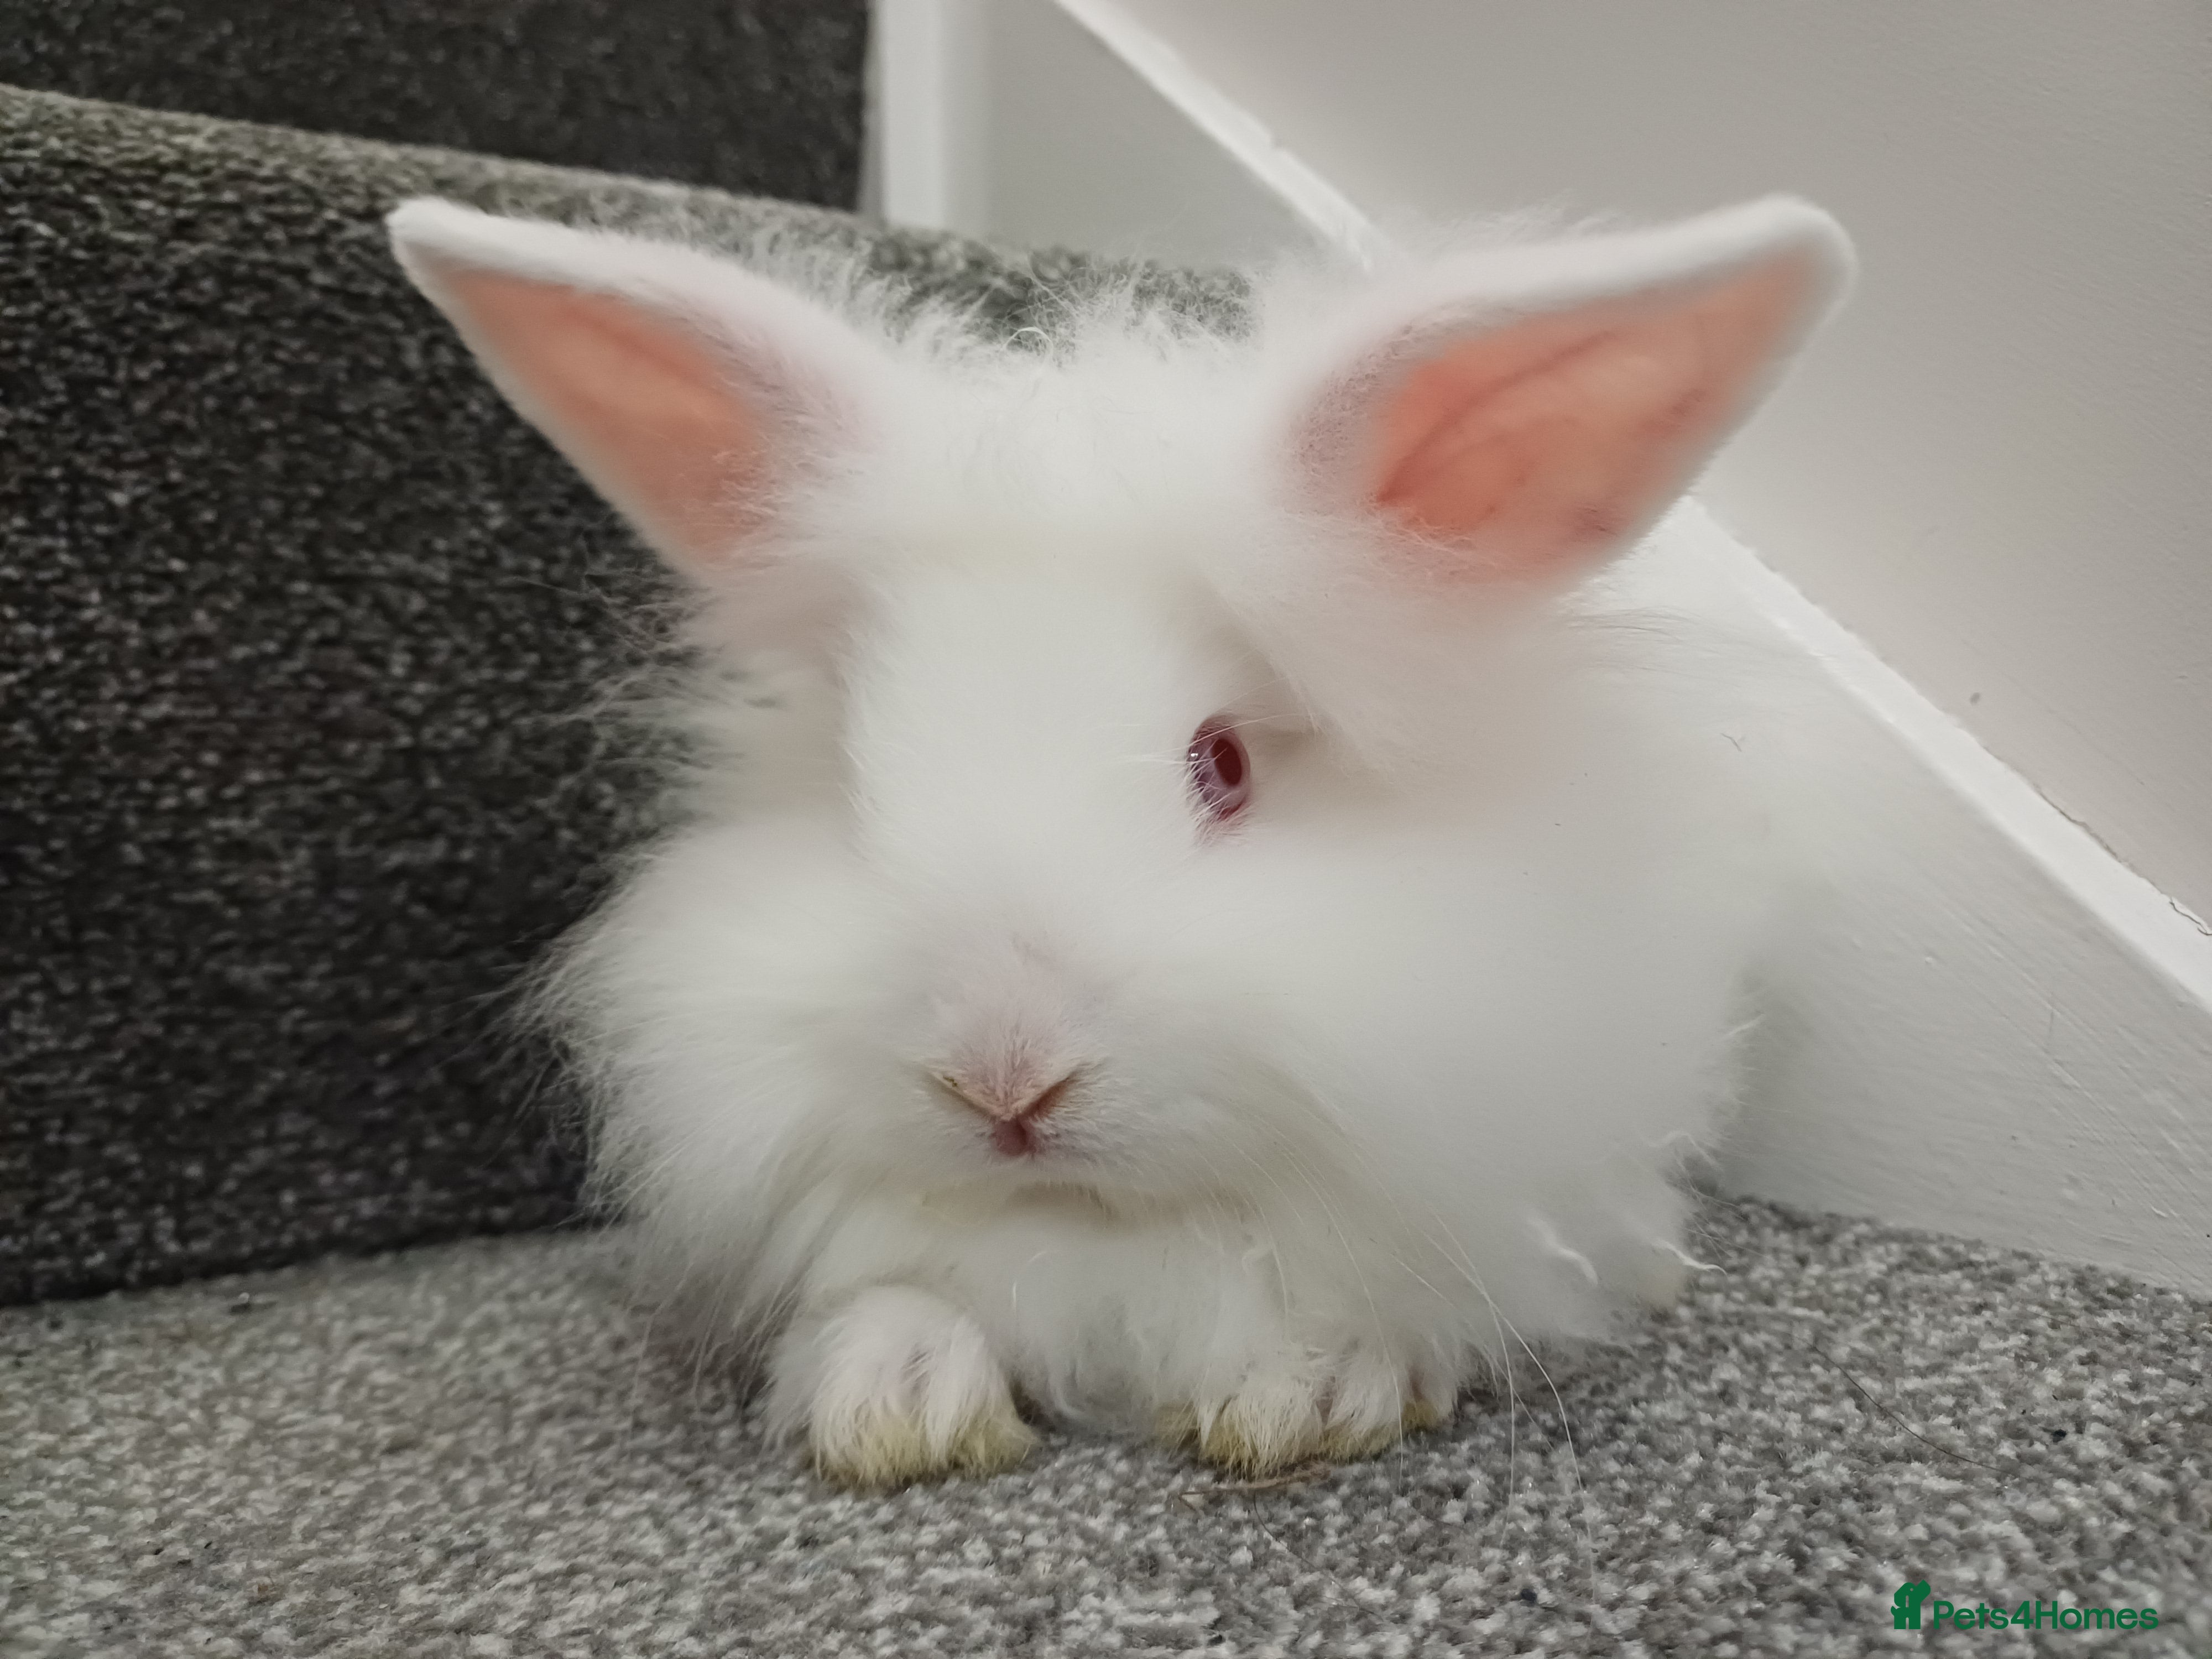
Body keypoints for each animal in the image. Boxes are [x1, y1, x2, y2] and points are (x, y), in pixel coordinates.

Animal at [388, 194, 1852, 1488]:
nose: (1002, 1078)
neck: (1098, 1234)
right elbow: (898, 1297)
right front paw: (894, 1402)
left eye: (1225, 766)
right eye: (856, 773)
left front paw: (1307, 1396)